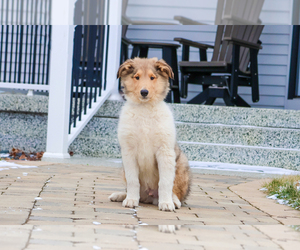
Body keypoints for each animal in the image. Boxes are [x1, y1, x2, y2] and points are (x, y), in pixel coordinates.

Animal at [109, 58, 191, 211]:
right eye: (137, 77)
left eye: (152, 77)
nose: (144, 92)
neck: (145, 109)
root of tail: (149, 197)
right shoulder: (128, 152)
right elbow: (132, 180)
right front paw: (131, 200)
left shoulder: (164, 151)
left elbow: (165, 182)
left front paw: (166, 203)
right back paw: (121, 196)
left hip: (181, 163)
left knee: (175, 190)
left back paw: (173, 201)